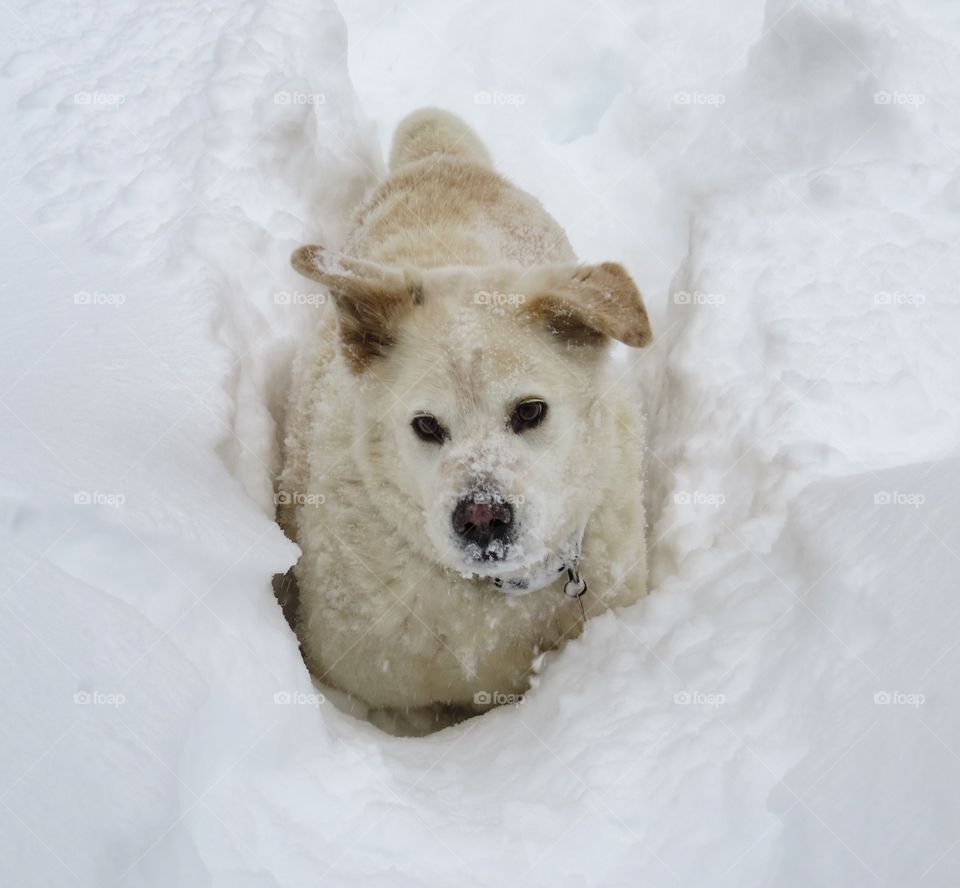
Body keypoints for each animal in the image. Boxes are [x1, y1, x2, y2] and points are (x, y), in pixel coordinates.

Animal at [280, 107, 652, 732]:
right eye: (427, 426)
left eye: (530, 411)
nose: (482, 518)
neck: (491, 601)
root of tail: (439, 160)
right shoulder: (372, 693)